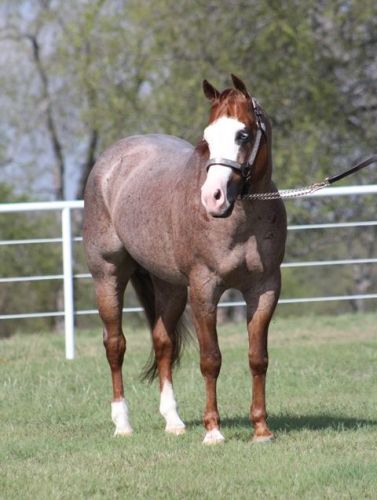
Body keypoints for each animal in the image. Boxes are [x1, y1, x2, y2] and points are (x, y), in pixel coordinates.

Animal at [83, 73, 286, 442]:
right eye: (207, 137)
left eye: (243, 134)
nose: (213, 197)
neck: (243, 219)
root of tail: (112, 160)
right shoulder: (204, 290)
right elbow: (211, 360)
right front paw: (213, 432)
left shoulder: (264, 289)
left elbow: (257, 358)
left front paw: (261, 429)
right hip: (108, 275)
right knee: (115, 344)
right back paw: (122, 424)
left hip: (170, 286)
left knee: (163, 343)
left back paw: (173, 421)